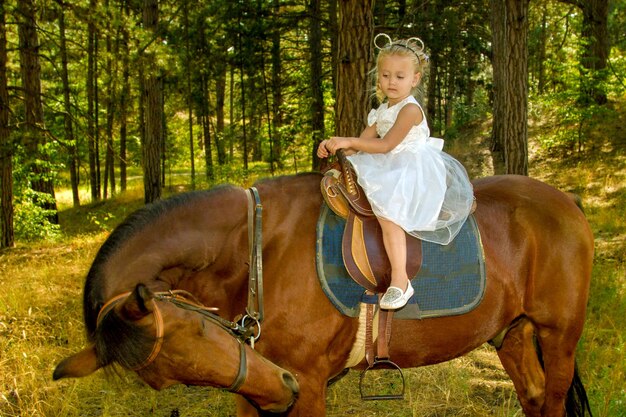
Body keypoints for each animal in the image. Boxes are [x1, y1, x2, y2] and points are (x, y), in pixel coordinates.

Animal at [53, 173, 588, 416]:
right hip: (512, 333)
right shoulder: (253, 388)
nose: (280, 390)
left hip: (559, 335)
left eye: (197, 328)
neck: (257, 252)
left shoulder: (308, 384)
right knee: (534, 396)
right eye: (164, 380)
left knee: (553, 398)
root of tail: (565, 202)